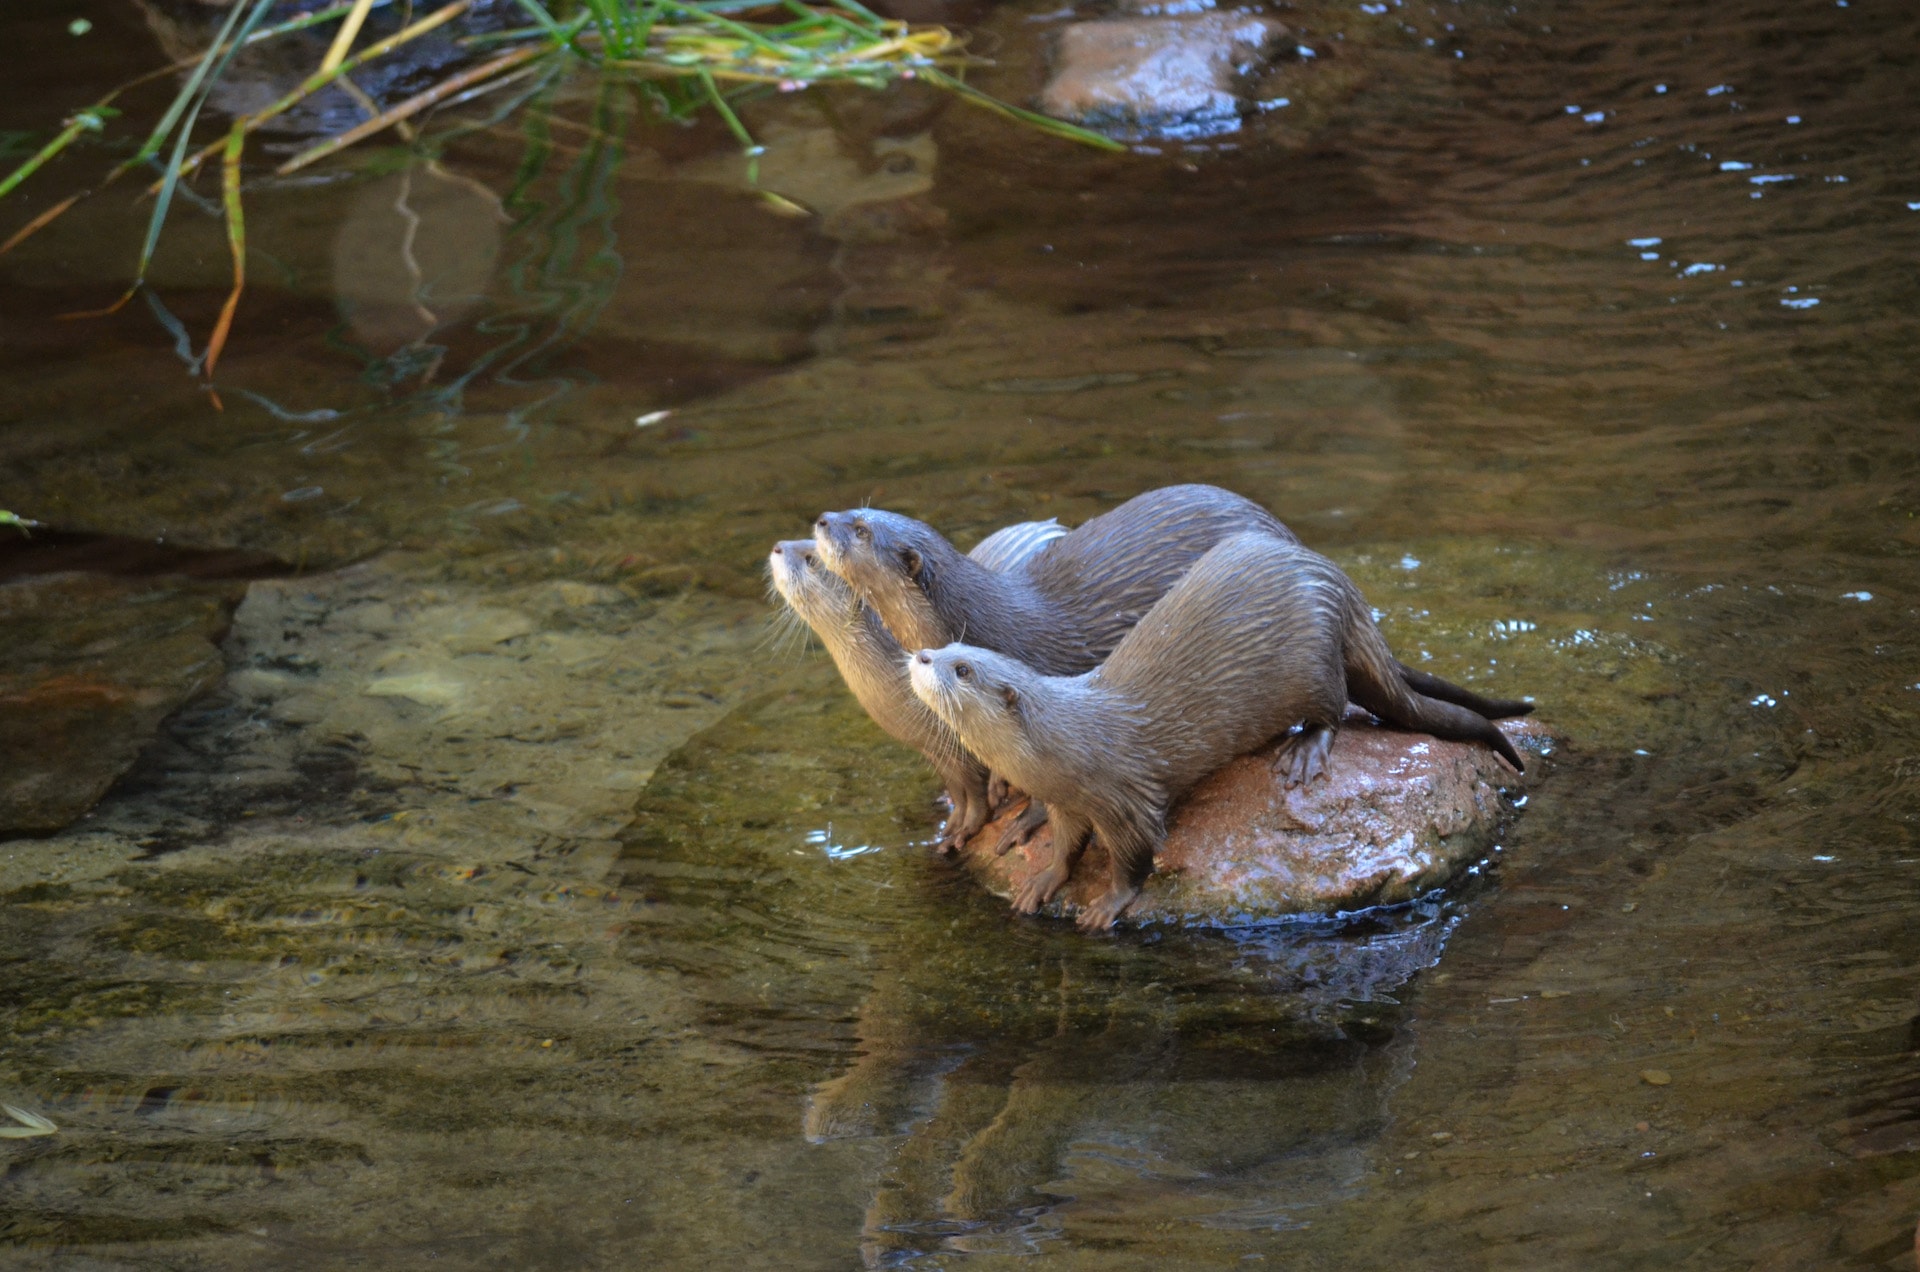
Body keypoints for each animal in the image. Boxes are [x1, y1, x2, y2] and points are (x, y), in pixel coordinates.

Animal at [764, 518, 1067, 856]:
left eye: (812, 559)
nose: (777, 546)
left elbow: (976, 795)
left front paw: (965, 830)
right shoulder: (935, 749)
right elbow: (959, 791)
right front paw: (951, 822)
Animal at [906, 534, 1520, 933]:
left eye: (963, 669)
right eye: (950, 647)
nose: (921, 655)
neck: (1072, 742)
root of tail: (1337, 584)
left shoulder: (1129, 802)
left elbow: (1135, 859)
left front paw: (1107, 905)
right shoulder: (1067, 803)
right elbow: (1065, 846)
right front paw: (1043, 880)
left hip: (1313, 663)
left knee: (1334, 706)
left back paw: (1303, 752)